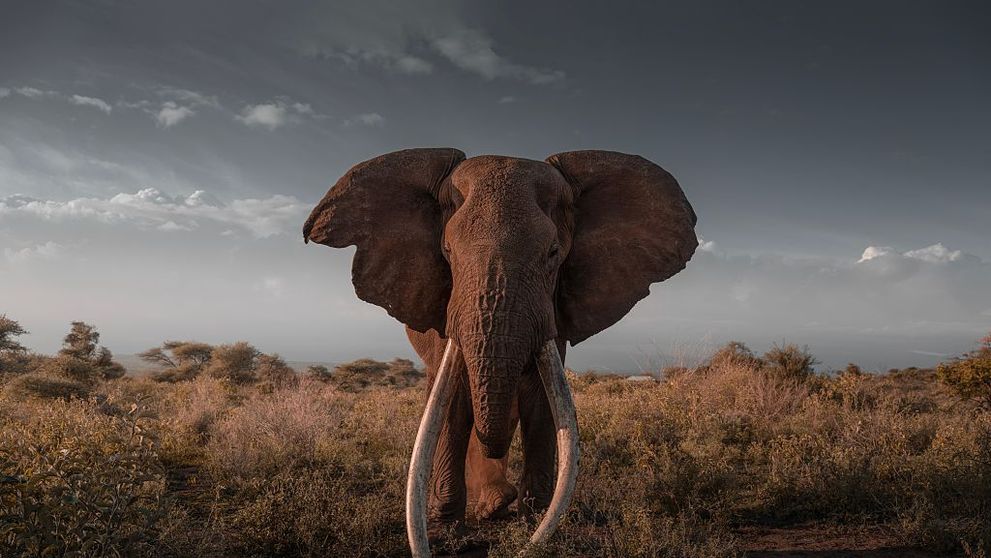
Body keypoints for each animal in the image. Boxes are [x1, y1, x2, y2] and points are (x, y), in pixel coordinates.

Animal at [303, 148, 697, 554]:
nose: (529, 539)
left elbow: (542, 399)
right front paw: (446, 533)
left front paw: (532, 523)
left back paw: (496, 505)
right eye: (447, 251)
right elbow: (455, 401)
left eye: (553, 253)